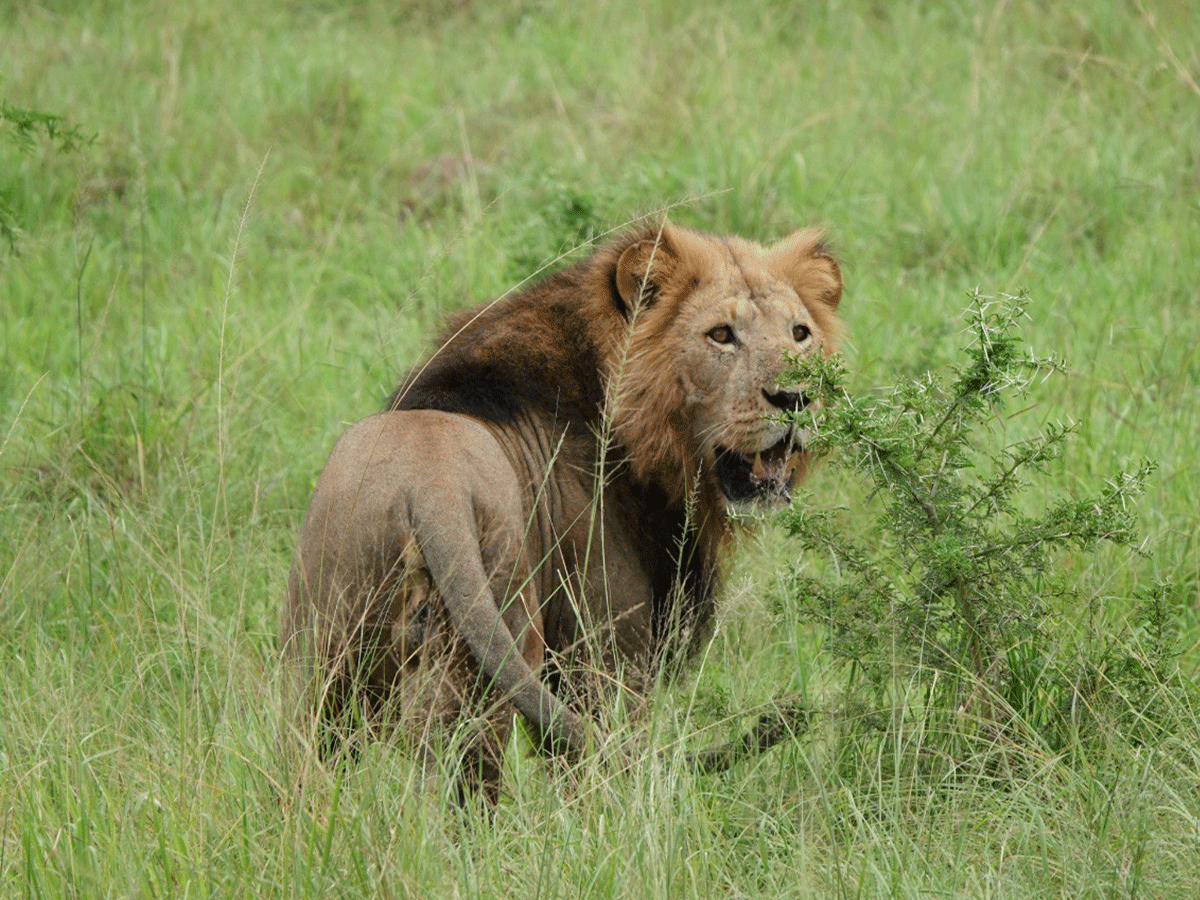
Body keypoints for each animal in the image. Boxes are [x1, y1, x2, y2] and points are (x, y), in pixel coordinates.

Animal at [280, 220, 844, 801]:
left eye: (800, 333)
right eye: (721, 335)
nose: (796, 397)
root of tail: (430, 489)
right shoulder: (603, 655)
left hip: (323, 660)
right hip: (503, 642)